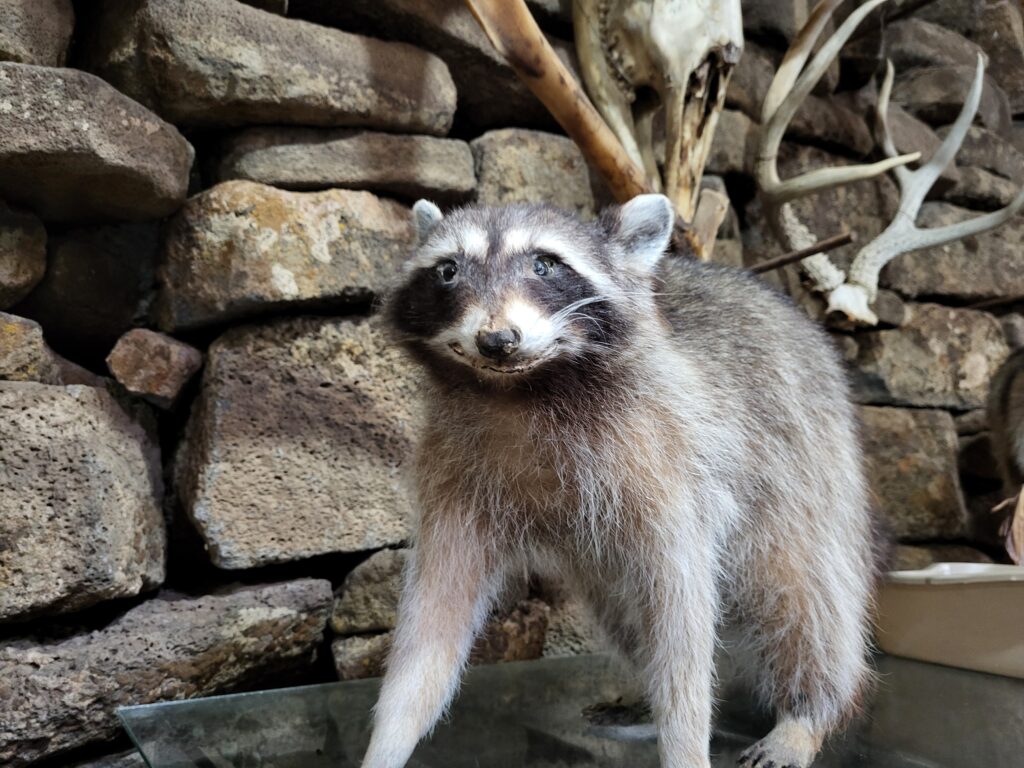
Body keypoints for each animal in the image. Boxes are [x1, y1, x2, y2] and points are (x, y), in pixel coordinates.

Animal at [364, 196, 876, 768]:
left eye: (544, 264)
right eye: (448, 271)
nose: (496, 340)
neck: (521, 392)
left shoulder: (668, 454)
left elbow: (684, 618)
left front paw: (687, 744)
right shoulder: (454, 474)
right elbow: (431, 622)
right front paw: (388, 742)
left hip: (805, 465)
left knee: (799, 594)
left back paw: (807, 712)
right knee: (625, 610)